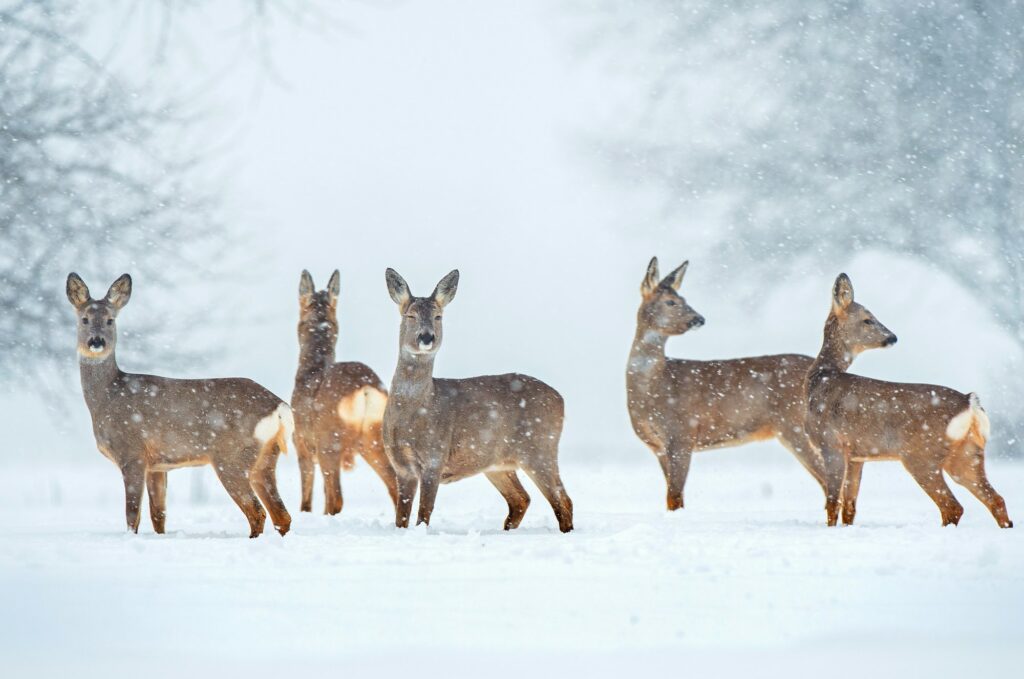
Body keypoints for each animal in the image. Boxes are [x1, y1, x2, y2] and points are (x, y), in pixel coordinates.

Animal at [66, 274, 294, 540]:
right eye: (84, 319)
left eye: (110, 320)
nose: (96, 341)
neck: (107, 395)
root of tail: (279, 407)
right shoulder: (157, 465)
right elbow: (158, 515)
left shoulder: (131, 452)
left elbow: (132, 515)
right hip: (266, 458)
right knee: (282, 516)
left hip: (231, 457)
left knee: (258, 513)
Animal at [292, 270, 399, 516]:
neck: (310, 370)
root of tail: (365, 388)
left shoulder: (301, 442)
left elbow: (307, 499)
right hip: (375, 438)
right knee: (396, 485)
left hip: (329, 441)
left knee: (336, 499)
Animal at [385, 268, 577, 532]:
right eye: (410, 315)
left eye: (438, 316)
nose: (426, 337)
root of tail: (561, 398)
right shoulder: (401, 466)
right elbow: (401, 517)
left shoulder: (435, 455)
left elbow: (424, 513)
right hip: (498, 464)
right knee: (521, 499)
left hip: (540, 447)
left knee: (562, 499)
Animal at [622, 258, 831, 512]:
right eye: (671, 301)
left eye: (684, 299)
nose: (699, 319)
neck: (655, 387)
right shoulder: (658, 446)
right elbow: (672, 497)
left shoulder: (682, 433)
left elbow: (675, 496)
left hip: (796, 426)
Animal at [806, 274, 1015, 528]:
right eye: (867, 320)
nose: (892, 337)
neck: (821, 379)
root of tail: (970, 403)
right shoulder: (857, 455)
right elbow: (850, 506)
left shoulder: (831, 442)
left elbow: (832, 501)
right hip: (967, 454)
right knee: (996, 499)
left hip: (920, 455)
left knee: (952, 506)